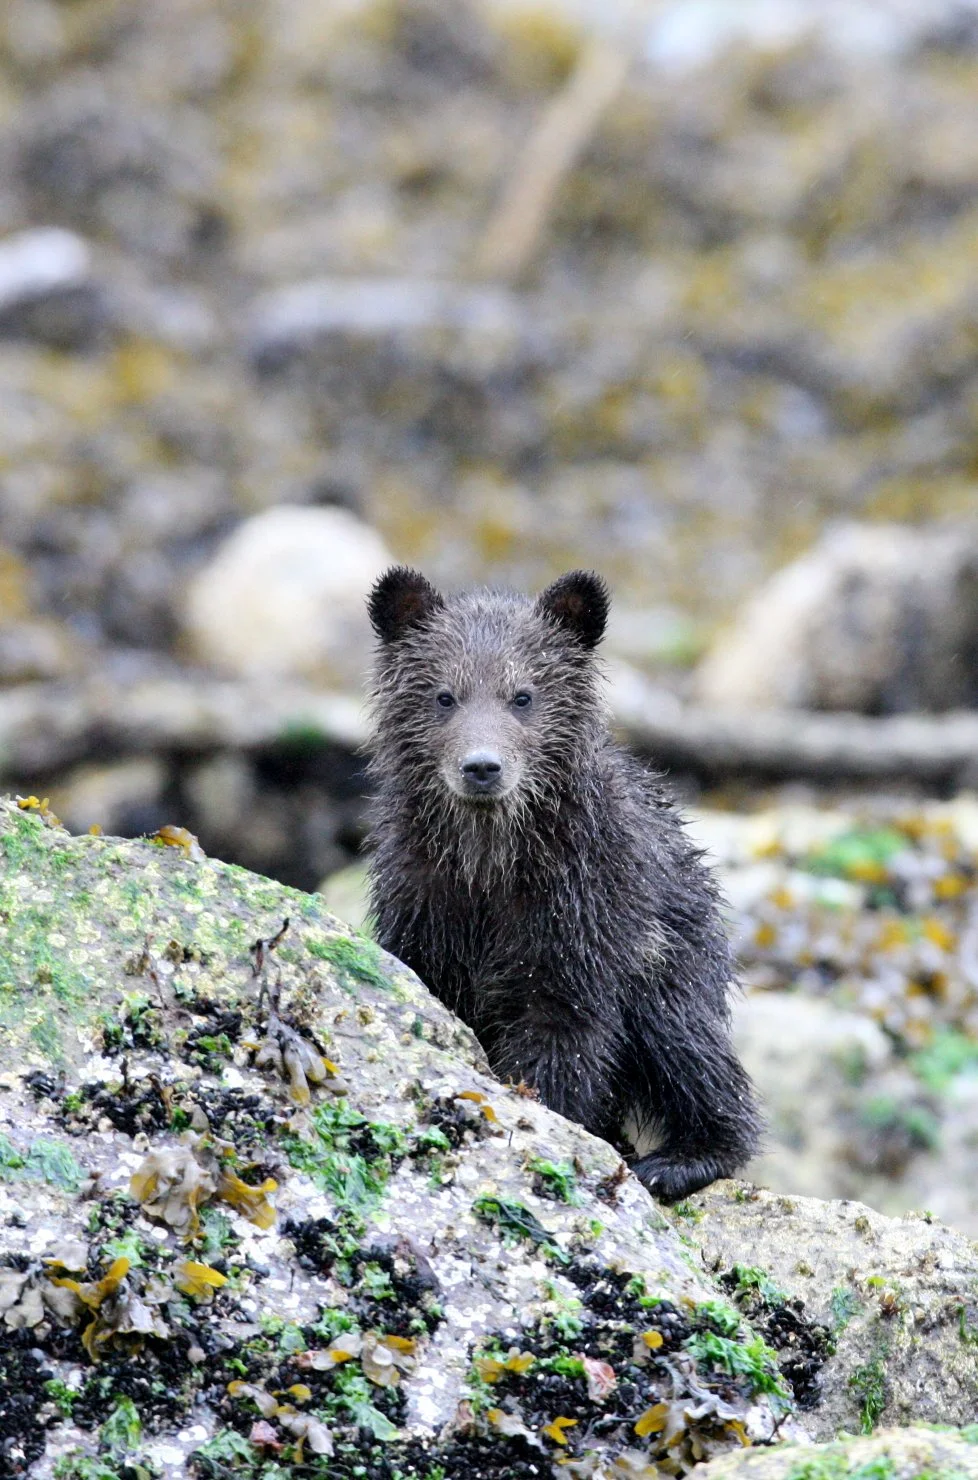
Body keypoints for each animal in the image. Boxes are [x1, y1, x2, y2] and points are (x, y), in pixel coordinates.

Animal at [365, 566, 761, 1202]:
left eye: (523, 695)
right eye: (444, 695)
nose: (482, 766)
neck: (491, 860)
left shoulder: (581, 907)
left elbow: (564, 1026)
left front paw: (545, 1117)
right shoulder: (423, 897)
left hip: (672, 949)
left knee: (685, 1044)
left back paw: (681, 1156)